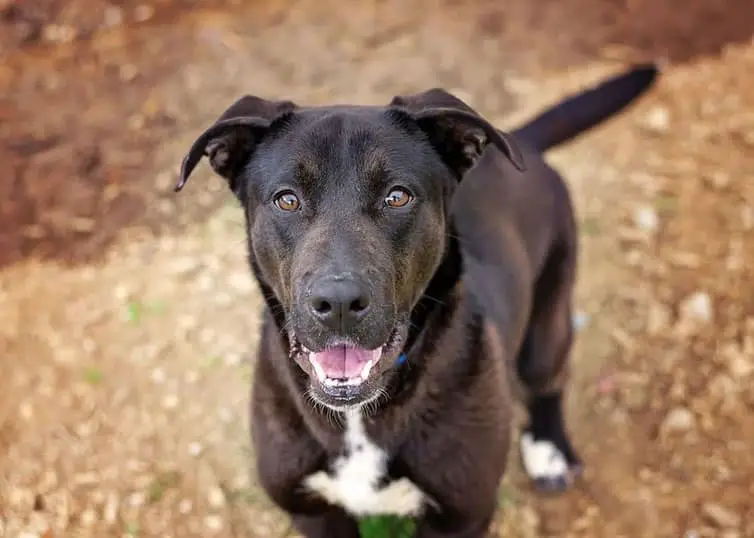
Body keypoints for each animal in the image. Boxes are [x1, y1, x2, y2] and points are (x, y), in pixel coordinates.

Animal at [178, 63, 656, 536]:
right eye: (287, 200)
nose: (338, 303)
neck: (359, 419)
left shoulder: (463, 516)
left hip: (548, 318)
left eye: (397, 196)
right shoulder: (311, 512)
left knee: (549, 381)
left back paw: (549, 449)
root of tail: (523, 140)